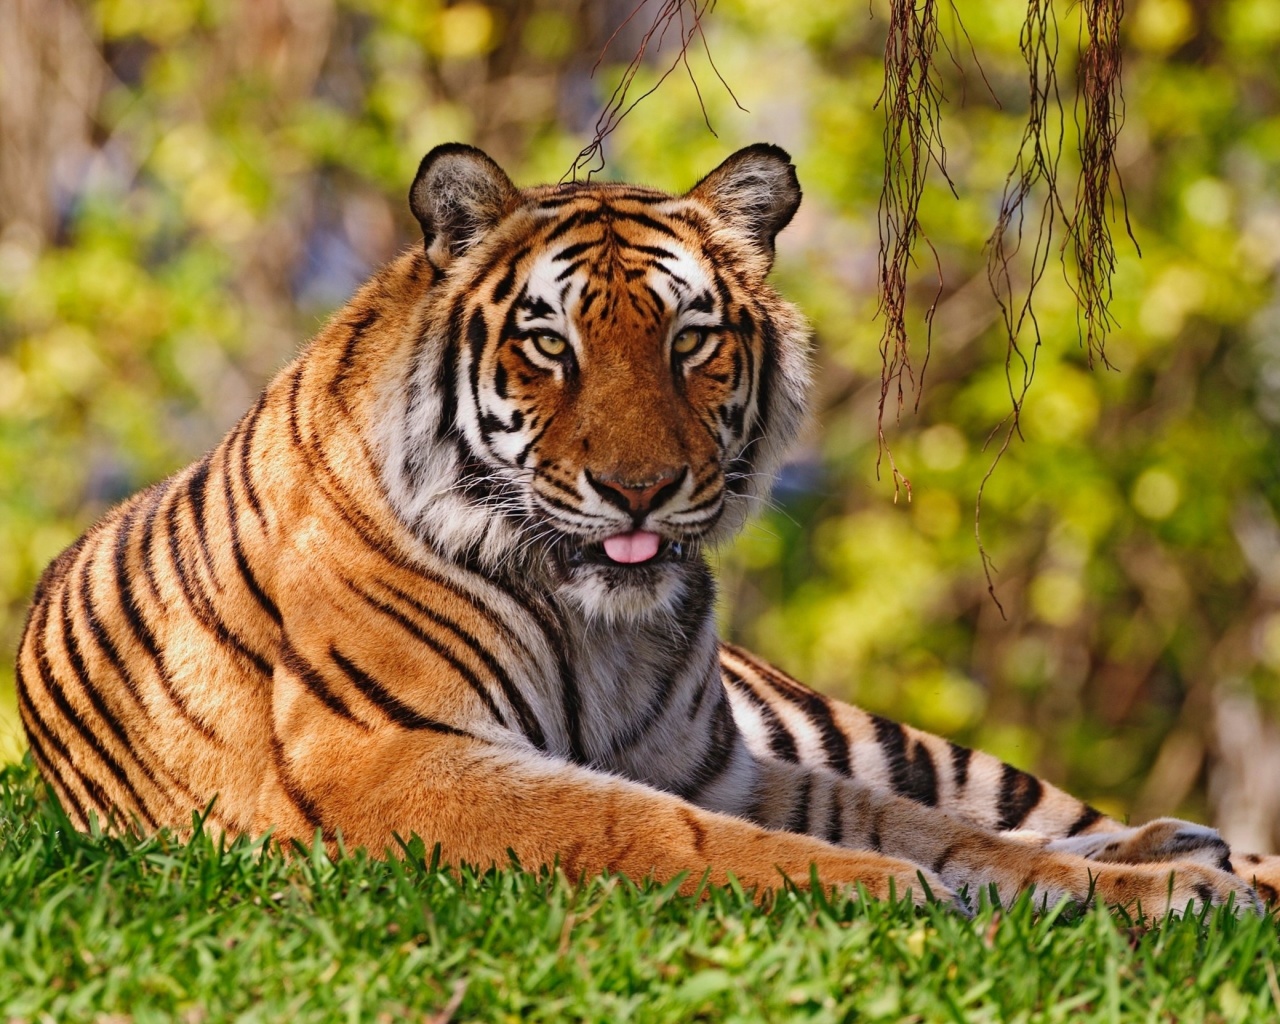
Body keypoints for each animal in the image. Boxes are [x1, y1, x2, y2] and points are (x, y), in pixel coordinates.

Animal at [20, 142, 1280, 911]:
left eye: (690, 339)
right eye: (549, 342)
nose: (639, 487)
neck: (601, 626)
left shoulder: (719, 761)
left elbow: (940, 832)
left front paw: (1153, 893)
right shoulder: (394, 757)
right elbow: (661, 832)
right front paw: (878, 889)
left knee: (1036, 812)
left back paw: (1188, 849)